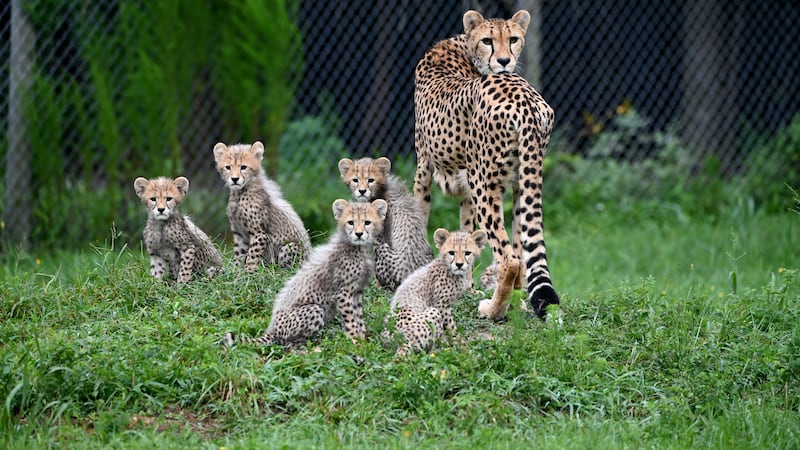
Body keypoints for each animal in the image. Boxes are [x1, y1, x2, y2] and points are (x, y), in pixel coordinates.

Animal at [213, 141, 311, 272]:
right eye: (228, 167)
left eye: (243, 167)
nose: (234, 179)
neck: (239, 193)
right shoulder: (239, 234)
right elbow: (239, 254)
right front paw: (234, 272)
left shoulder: (259, 234)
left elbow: (253, 254)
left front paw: (249, 272)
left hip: (289, 246)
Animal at [221, 199, 387, 350]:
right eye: (350, 222)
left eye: (367, 222)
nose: (359, 234)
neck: (357, 248)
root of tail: (272, 329)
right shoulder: (343, 293)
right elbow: (351, 321)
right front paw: (355, 342)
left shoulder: (357, 292)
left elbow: (359, 319)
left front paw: (363, 340)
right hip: (314, 310)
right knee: (287, 343)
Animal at [338, 156, 433, 290]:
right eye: (355, 180)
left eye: (371, 180)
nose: (362, 191)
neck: (381, 190)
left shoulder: (379, 237)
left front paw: (376, 286)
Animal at [385, 228, 487, 357]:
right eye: (451, 252)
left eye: (467, 253)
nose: (459, 264)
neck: (448, 267)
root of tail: (400, 339)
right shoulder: (441, 305)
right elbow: (451, 327)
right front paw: (460, 343)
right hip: (432, 313)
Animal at [413, 9, 559, 320]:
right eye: (488, 40)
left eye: (513, 39)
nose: (504, 61)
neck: (464, 48)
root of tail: (525, 97)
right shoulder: (467, 184)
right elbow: (467, 234)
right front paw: (465, 286)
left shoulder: (424, 166)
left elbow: (419, 215)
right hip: (521, 183)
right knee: (521, 254)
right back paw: (513, 305)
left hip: (485, 184)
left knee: (508, 259)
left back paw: (492, 310)